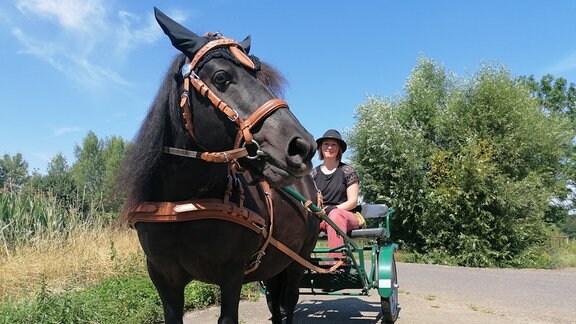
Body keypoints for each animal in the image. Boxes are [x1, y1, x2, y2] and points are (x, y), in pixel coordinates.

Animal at [120, 7, 320, 324]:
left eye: (262, 77)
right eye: (222, 76)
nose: (302, 146)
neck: (183, 204)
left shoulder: (232, 274)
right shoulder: (163, 276)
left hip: (296, 262)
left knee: (287, 305)